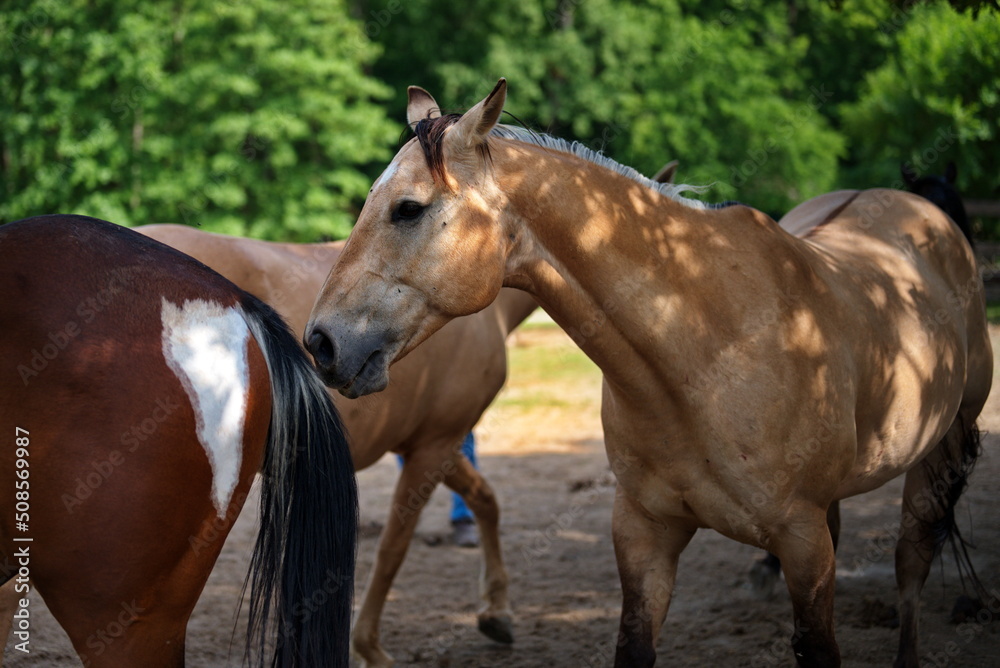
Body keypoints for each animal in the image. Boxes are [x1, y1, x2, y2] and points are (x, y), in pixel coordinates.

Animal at [135, 222, 540, 664]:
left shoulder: (429, 444)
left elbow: (485, 500)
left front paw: (496, 611)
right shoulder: (436, 444)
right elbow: (392, 549)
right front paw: (369, 647)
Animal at [304, 79, 992, 668]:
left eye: (408, 209)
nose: (320, 342)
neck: (707, 354)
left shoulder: (802, 539)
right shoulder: (646, 533)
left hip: (939, 452)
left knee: (910, 567)